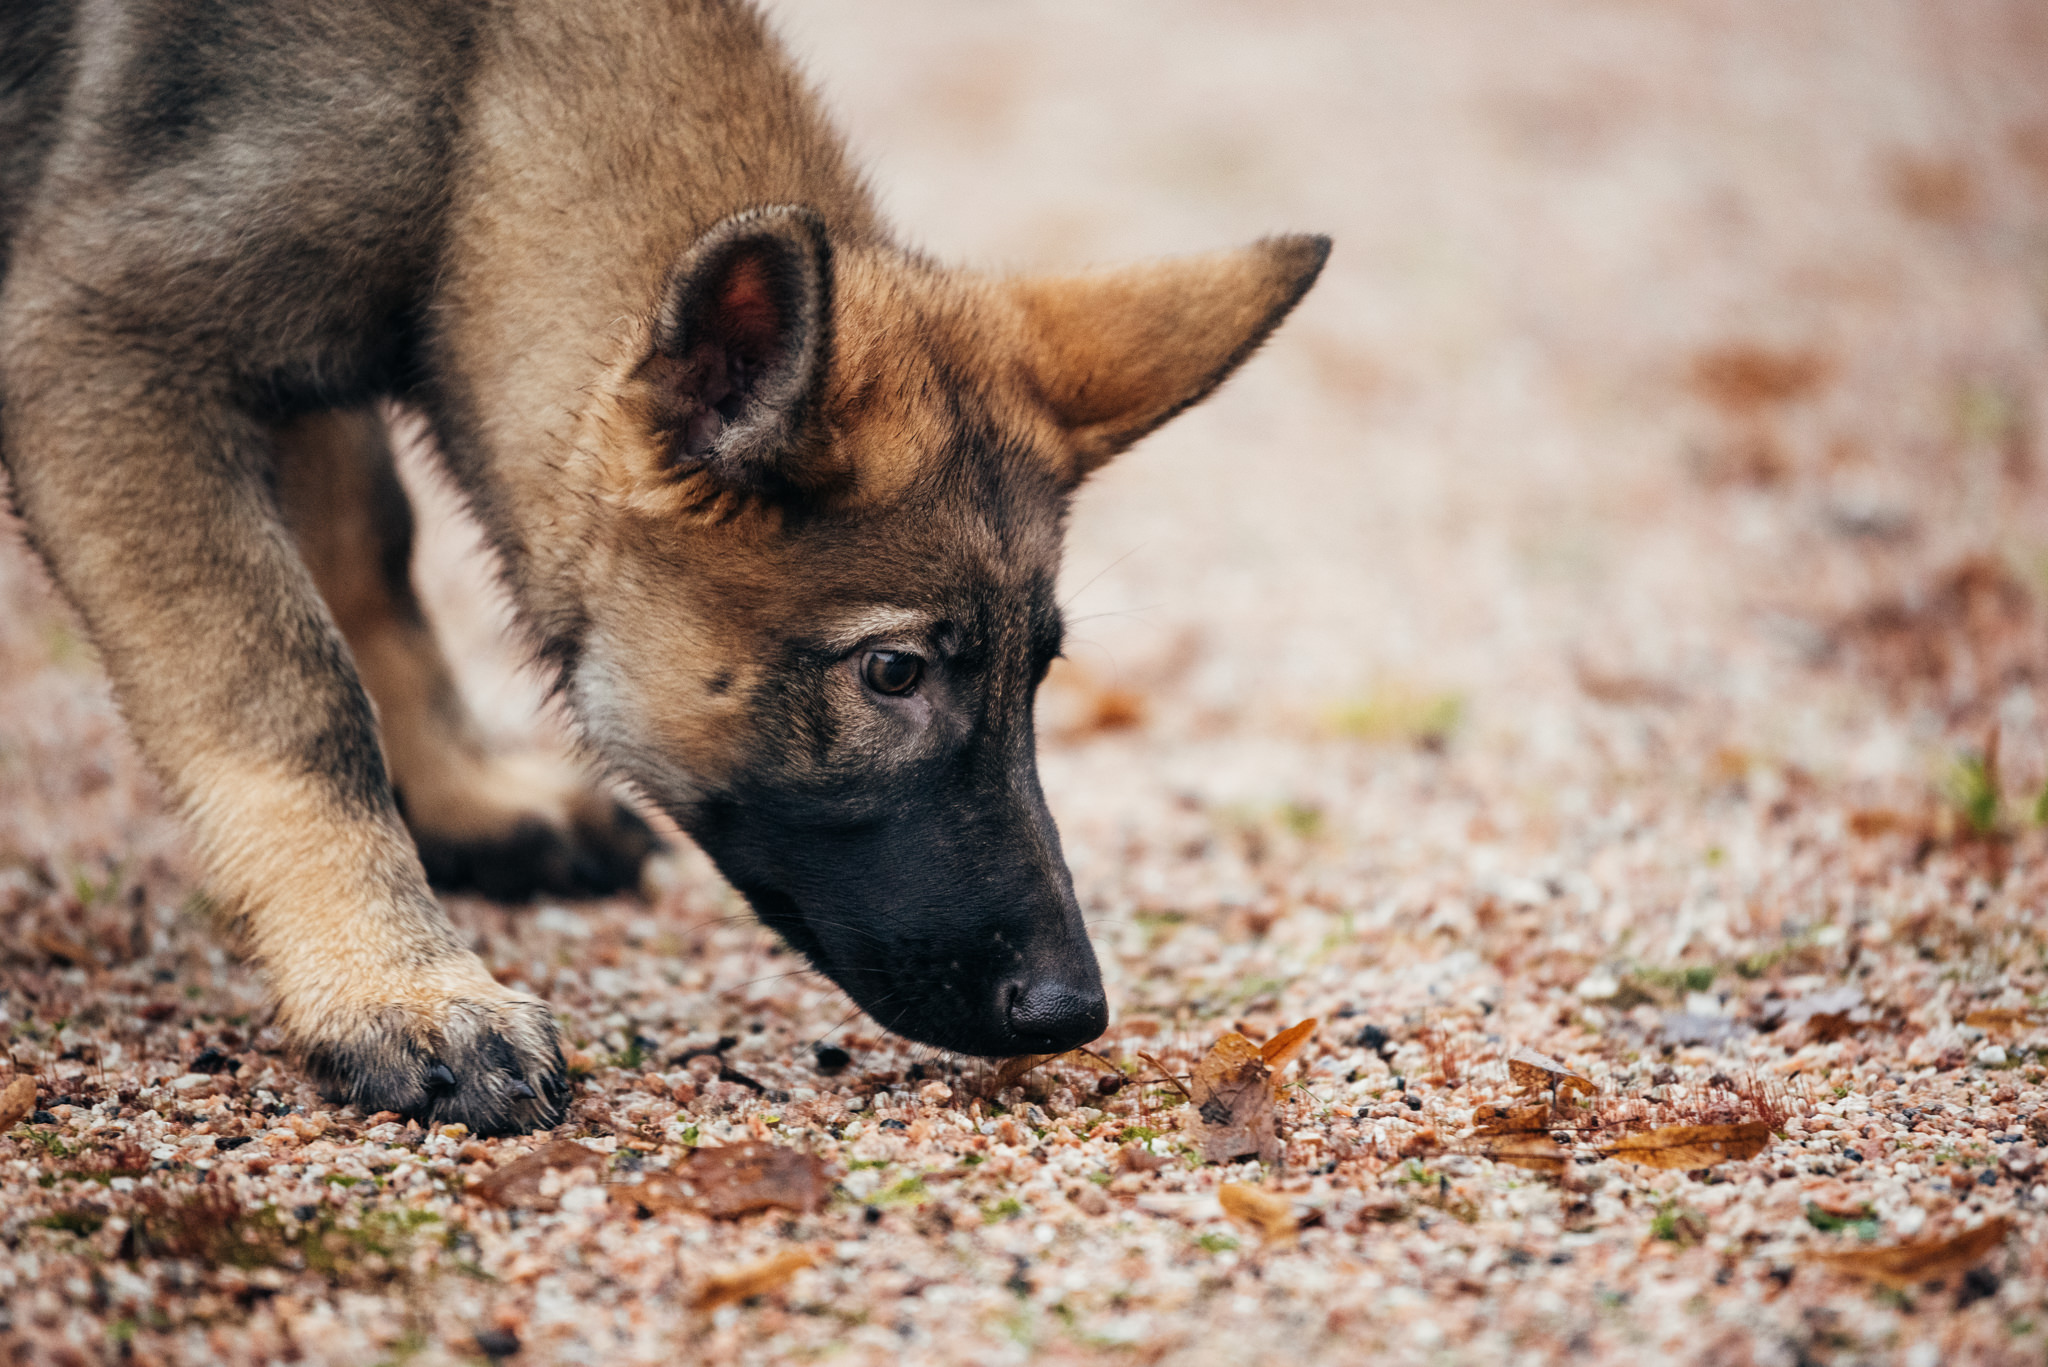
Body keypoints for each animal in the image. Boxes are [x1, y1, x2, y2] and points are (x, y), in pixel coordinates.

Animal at [0, 0, 1327, 1131]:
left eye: (1041, 672)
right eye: (892, 673)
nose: (1071, 1011)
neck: (473, 102)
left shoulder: (294, 368)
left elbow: (368, 557)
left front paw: (458, 796)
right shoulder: (104, 359)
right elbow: (289, 686)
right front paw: (395, 984)